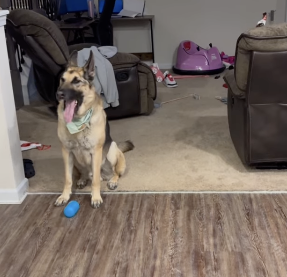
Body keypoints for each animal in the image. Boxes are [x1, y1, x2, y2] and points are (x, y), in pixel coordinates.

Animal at [54, 49, 135, 207]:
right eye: (62, 79)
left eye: (76, 81)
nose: (58, 94)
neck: (78, 121)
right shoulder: (66, 152)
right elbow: (67, 179)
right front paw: (65, 196)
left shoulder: (96, 152)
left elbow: (96, 181)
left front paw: (96, 197)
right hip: (75, 161)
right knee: (85, 173)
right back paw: (83, 179)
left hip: (111, 151)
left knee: (113, 173)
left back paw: (112, 180)